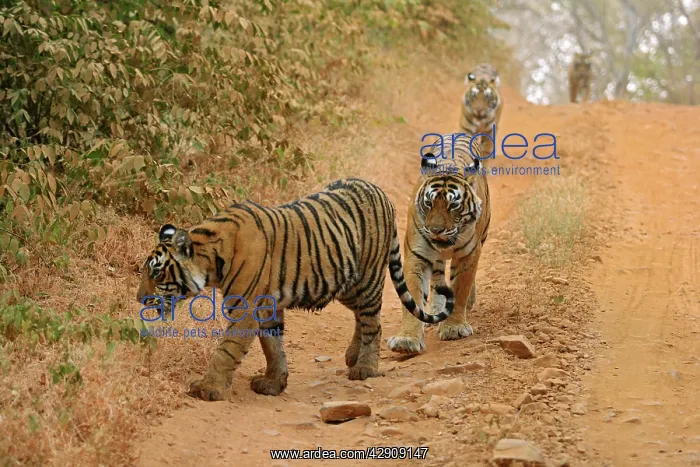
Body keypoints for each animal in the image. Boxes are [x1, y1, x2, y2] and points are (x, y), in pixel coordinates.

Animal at [136, 178, 455, 401]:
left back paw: (364, 367)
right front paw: (274, 382)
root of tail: (381, 193)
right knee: (362, 318)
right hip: (346, 284)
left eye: (156, 272)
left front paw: (207, 388)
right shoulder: (267, 306)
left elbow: (226, 351)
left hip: (366, 281)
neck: (212, 260)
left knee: (372, 324)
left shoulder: (245, 309)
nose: (140, 298)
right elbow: (272, 345)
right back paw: (353, 355)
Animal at [387, 133, 490, 354]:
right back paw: (435, 309)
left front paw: (454, 328)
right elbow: (414, 297)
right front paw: (406, 339)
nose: (435, 230)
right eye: (428, 203)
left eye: (453, 206)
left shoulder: (468, 255)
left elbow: (460, 288)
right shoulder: (417, 256)